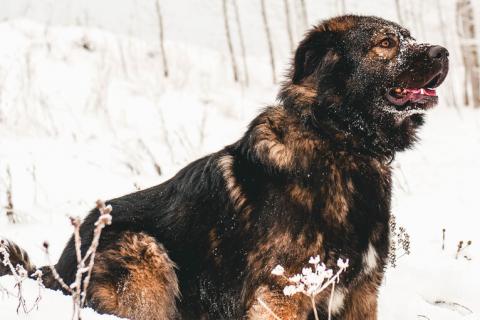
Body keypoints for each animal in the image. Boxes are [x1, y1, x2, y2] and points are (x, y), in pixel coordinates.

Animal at [0, 15, 450, 320]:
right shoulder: (284, 293)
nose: (442, 52)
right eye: (386, 42)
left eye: (409, 37)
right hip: (147, 257)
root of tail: (54, 269)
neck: (338, 142)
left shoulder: (361, 293)